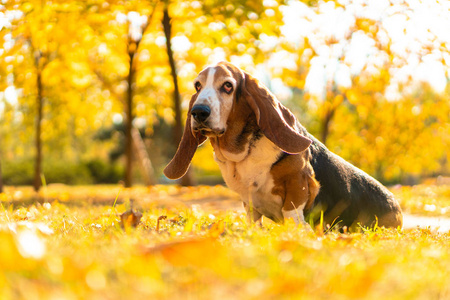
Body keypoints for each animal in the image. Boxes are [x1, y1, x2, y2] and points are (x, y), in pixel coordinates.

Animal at [165, 61, 404, 230]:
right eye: (197, 85)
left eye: (227, 86)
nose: (198, 112)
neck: (244, 151)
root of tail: (398, 208)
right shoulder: (248, 199)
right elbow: (253, 219)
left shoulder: (300, 180)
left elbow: (291, 211)